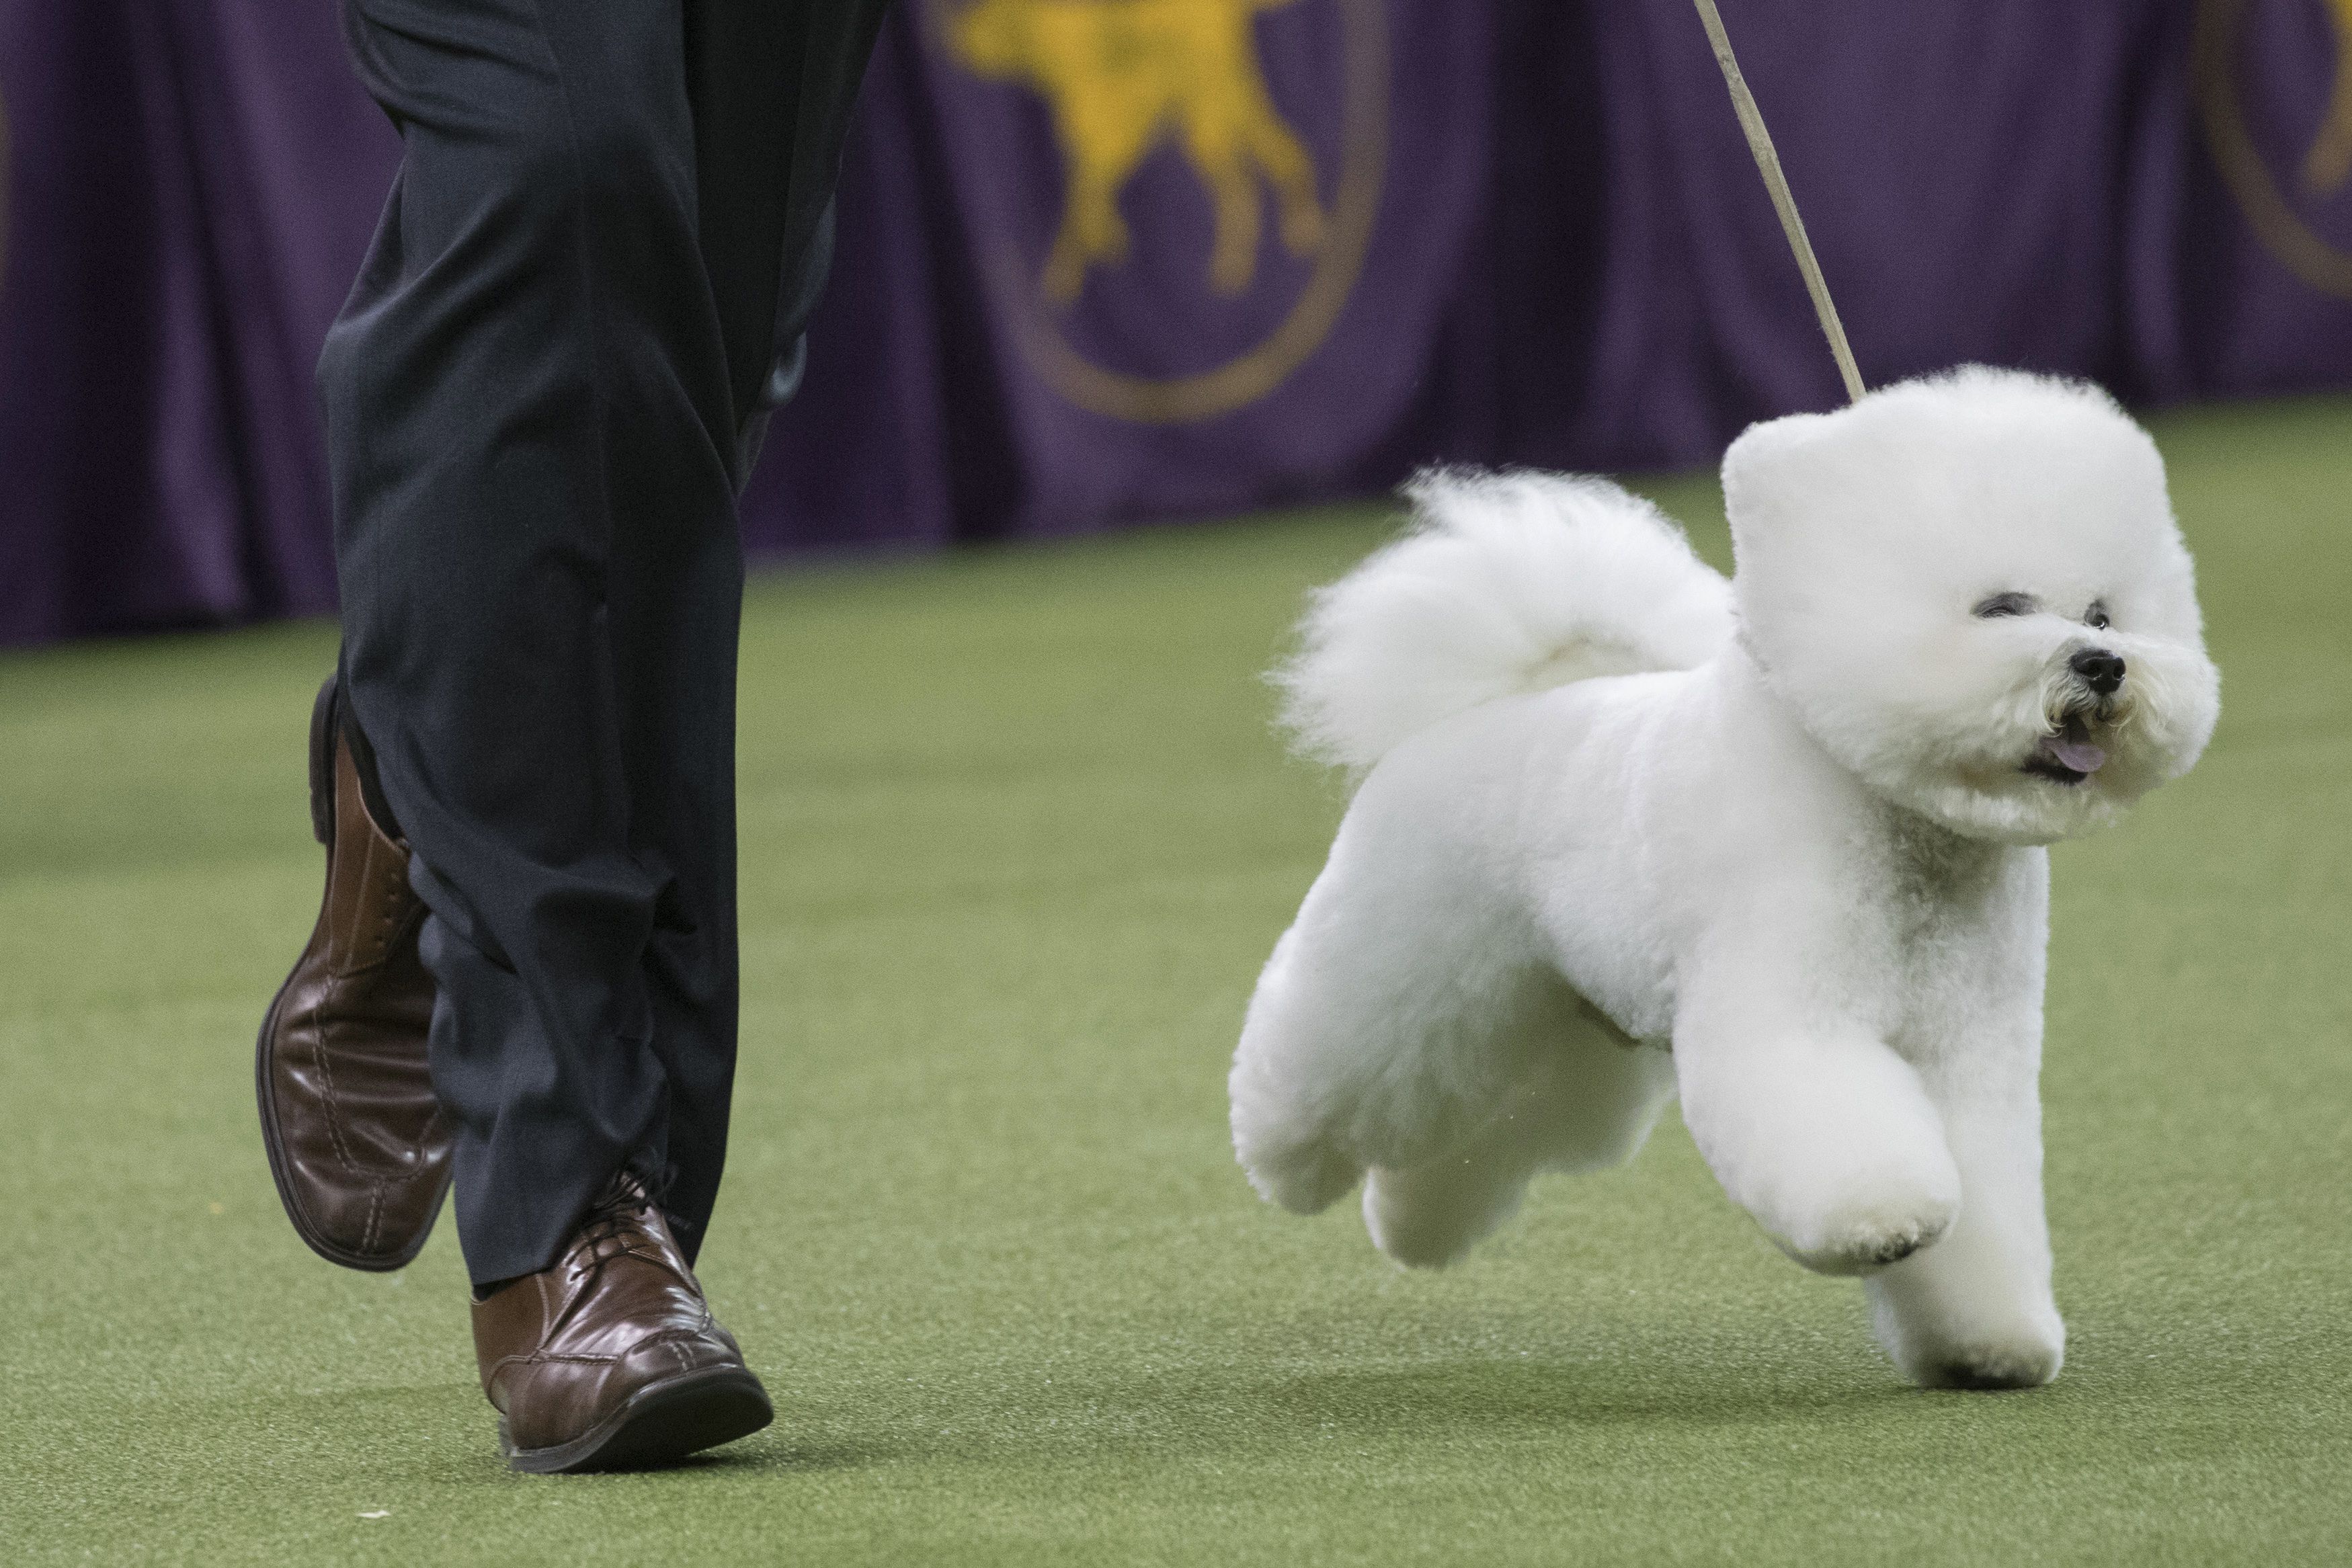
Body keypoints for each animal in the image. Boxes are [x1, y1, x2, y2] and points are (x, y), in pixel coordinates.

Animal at [1232, 374, 2220, 1391]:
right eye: (1999, 608)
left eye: (2101, 613)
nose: (2103, 665)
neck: (1897, 827)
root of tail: (1486, 710)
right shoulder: (1791, 1016)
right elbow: (1846, 1141)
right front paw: (1885, 1221)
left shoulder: (1965, 1056)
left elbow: (1986, 1199)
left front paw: (1989, 1341)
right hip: (1398, 976)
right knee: (1322, 1073)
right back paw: (1279, 1160)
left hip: (1549, 1029)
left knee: (1475, 1130)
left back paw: (1410, 1224)